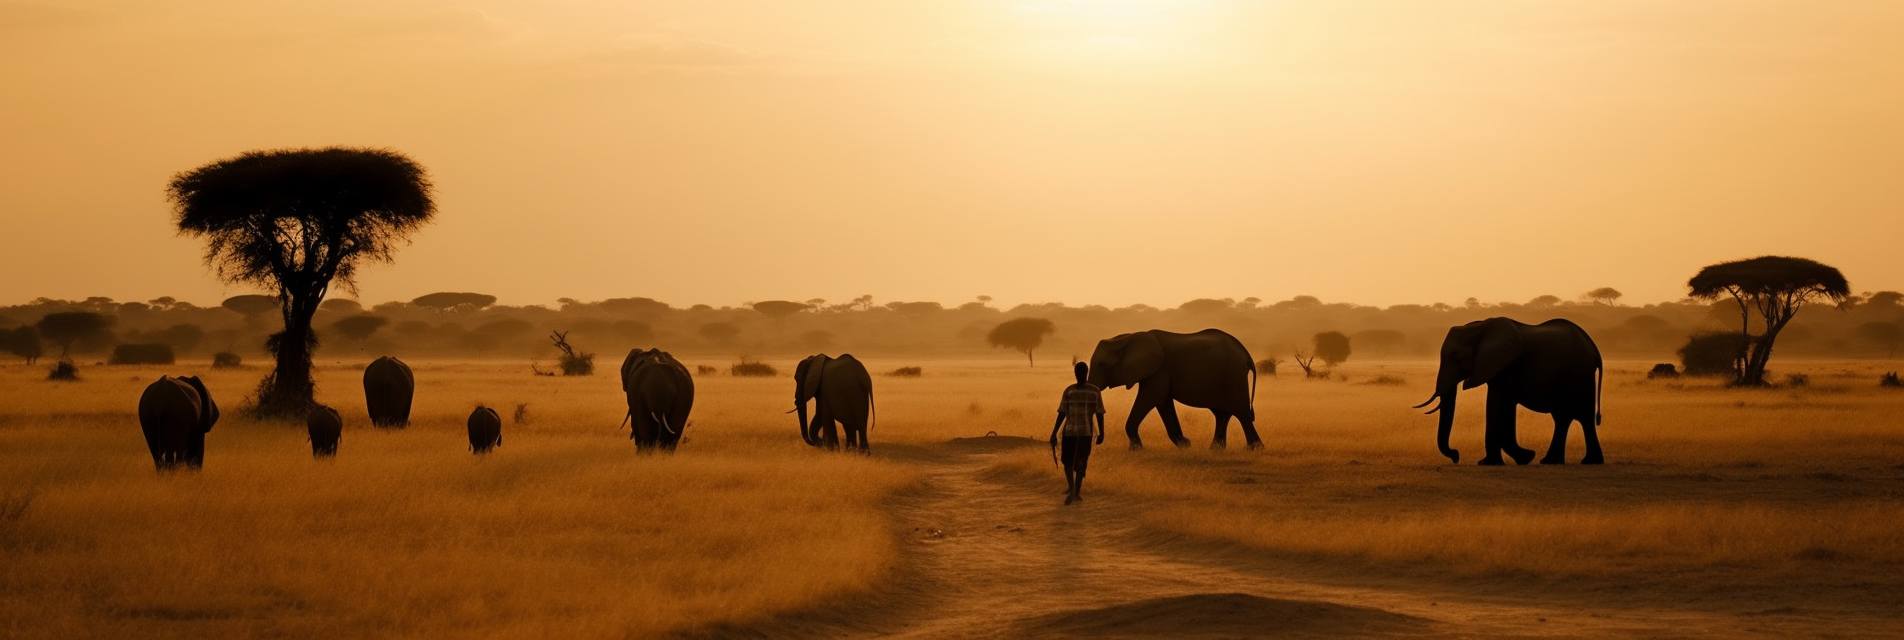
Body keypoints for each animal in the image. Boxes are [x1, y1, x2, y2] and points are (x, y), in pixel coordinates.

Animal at [1089, 329, 1264, 449]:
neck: (1129, 337)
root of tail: (1246, 354)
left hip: (1233, 376)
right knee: (1222, 414)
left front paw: (1136, 449)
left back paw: (1255, 449)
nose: (1098, 440)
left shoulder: (1160, 370)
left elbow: (1151, 398)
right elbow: (1163, 403)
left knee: (1241, 413)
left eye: (1102, 364)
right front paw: (1186, 445)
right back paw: (1215, 450)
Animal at [1416, 318, 1606, 464]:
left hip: (1580, 375)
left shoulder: (1507, 367)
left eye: (1454, 356)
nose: (1456, 456)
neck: (1481, 326)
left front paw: (1493, 463)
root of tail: (1594, 349)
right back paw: (1550, 461)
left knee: (1583, 417)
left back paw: (1589, 461)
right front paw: (1524, 457)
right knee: (1563, 418)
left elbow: (1496, 403)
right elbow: (1504, 405)